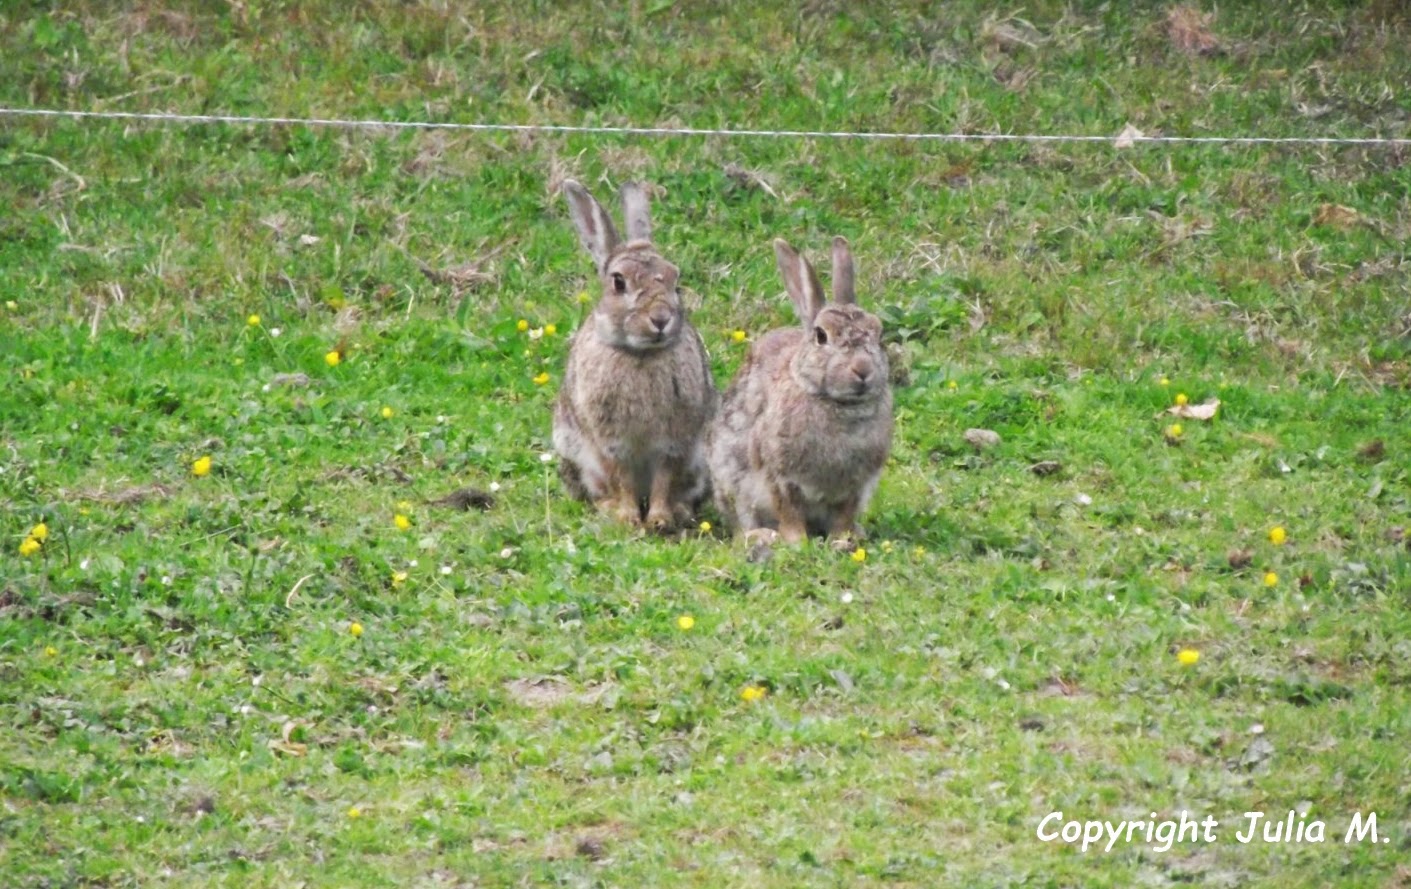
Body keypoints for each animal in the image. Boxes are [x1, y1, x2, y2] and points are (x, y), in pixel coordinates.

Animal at [552, 178, 716, 531]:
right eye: (618, 282)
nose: (660, 318)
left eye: (675, 279)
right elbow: (622, 478)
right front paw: (628, 518)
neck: (640, 354)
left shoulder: (674, 442)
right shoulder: (612, 443)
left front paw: (659, 520)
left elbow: (664, 480)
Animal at [708, 237, 893, 544]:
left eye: (879, 333)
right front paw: (796, 542)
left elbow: (844, 513)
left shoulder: (856, 485)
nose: (863, 369)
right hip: (729, 478)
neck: (837, 405)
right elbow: (789, 510)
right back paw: (759, 536)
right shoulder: (779, 476)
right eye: (821, 336)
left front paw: (842, 539)